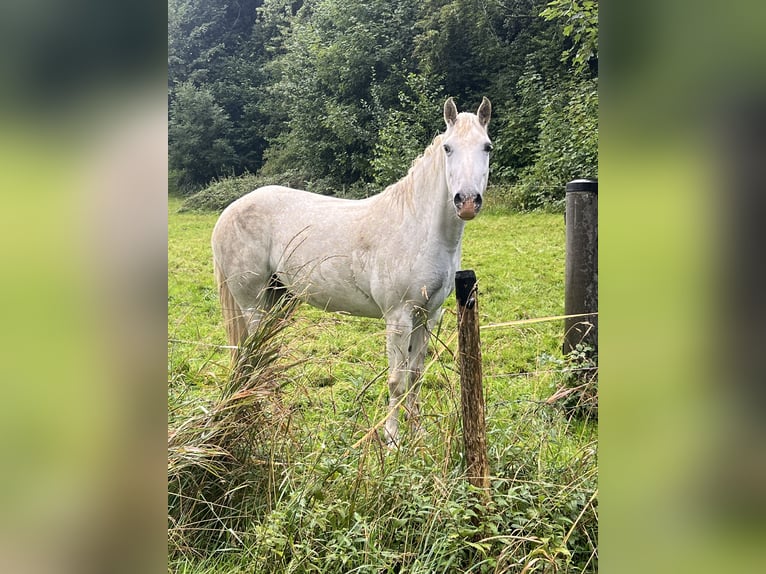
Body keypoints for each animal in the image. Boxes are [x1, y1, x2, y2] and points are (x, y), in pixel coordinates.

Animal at [213, 98, 496, 446]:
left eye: (487, 147)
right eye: (448, 148)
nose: (466, 201)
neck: (418, 226)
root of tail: (228, 212)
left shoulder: (428, 315)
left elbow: (415, 377)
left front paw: (418, 436)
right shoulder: (398, 317)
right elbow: (396, 380)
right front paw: (392, 440)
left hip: (279, 300)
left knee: (265, 357)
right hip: (253, 304)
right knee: (255, 358)